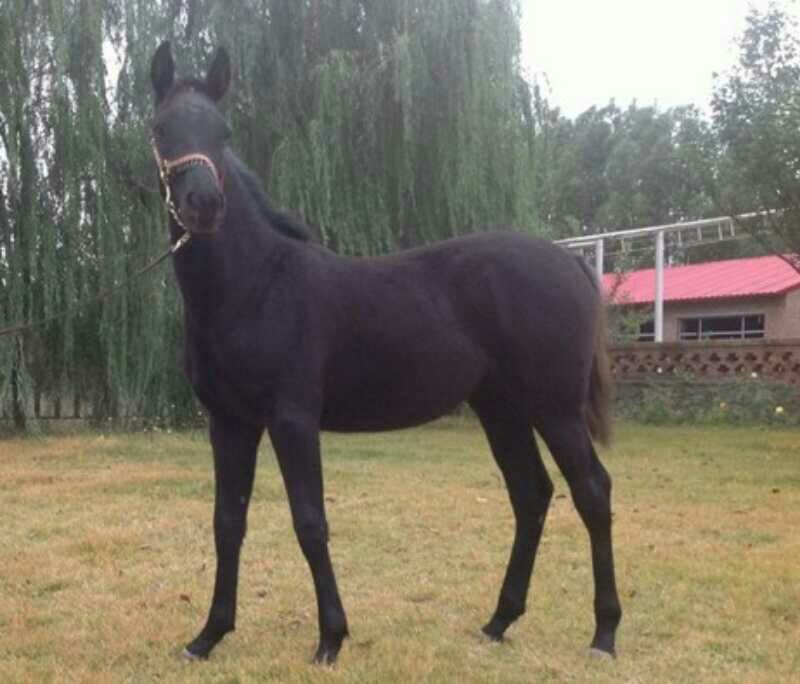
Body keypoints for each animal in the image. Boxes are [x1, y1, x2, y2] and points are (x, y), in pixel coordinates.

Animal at [149, 41, 621, 665]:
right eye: (160, 129)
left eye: (223, 133)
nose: (203, 204)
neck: (255, 284)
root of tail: (568, 259)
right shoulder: (229, 423)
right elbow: (227, 522)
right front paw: (208, 635)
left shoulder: (292, 419)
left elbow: (310, 522)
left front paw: (330, 638)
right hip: (502, 410)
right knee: (531, 493)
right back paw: (499, 620)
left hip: (555, 408)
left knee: (592, 491)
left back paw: (605, 634)